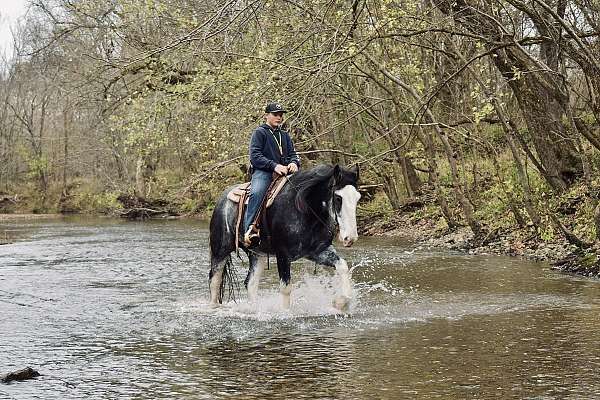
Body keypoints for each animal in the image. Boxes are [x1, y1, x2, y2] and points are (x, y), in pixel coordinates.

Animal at [210, 163, 360, 310]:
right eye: (338, 198)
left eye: (358, 198)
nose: (350, 238)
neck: (303, 210)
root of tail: (222, 199)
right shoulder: (282, 254)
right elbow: (286, 288)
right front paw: (285, 312)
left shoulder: (317, 251)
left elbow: (342, 266)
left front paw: (342, 302)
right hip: (220, 251)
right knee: (214, 280)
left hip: (257, 254)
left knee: (250, 283)